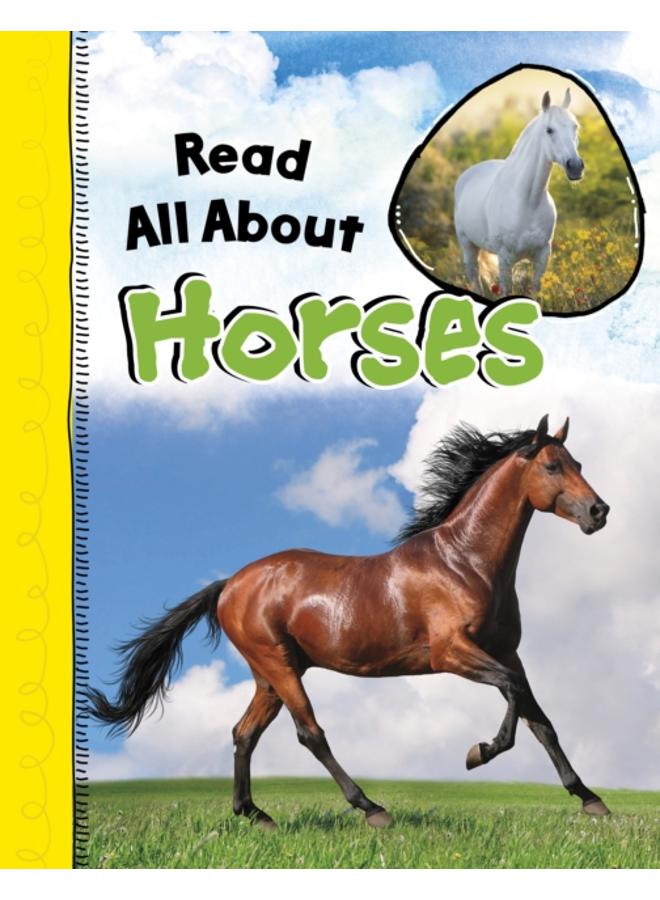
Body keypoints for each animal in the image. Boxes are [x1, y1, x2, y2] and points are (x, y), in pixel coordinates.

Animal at [88, 414, 611, 829]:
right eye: (552, 466)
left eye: (579, 465)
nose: (599, 511)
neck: (465, 562)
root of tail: (230, 584)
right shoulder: (452, 653)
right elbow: (512, 696)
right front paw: (478, 752)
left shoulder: (508, 652)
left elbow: (540, 719)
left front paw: (591, 800)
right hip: (278, 666)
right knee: (309, 733)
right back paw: (371, 808)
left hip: (271, 675)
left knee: (244, 734)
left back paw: (255, 814)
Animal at [454, 89, 584, 298]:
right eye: (549, 130)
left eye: (575, 127)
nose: (575, 166)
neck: (528, 202)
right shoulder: (505, 258)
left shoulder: (542, 256)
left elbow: (535, 291)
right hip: (468, 247)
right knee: (475, 279)